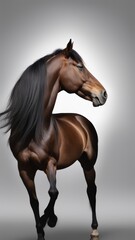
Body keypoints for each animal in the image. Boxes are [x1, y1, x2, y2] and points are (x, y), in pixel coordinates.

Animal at [0, 40, 107, 239]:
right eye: (80, 67)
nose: (103, 94)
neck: (34, 130)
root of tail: (81, 119)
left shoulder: (50, 163)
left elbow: (53, 192)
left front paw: (49, 220)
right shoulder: (24, 168)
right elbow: (34, 200)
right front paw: (40, 231)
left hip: (88, 163)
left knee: (91, 190)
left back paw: (94, 229)